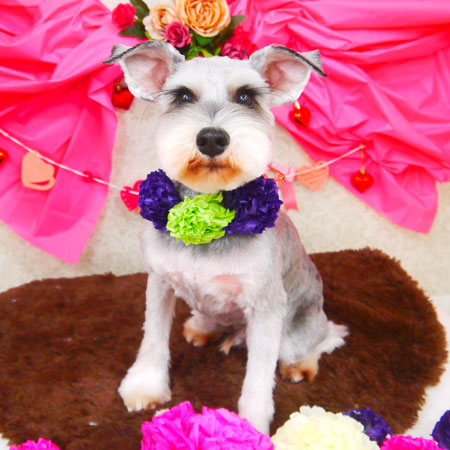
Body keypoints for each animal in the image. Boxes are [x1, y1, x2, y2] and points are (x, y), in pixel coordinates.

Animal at [104, 41, 348, 434]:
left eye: (247, 97)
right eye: (183, 96)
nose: (212, 138)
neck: (207, 210)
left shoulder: (266, 307)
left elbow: (258, 377)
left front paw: (250, 426)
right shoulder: (159, 283)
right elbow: (153, 337)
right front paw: (146, 385)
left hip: (297, 329)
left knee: (325, 337)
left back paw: (302, 364)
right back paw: (201, 328)